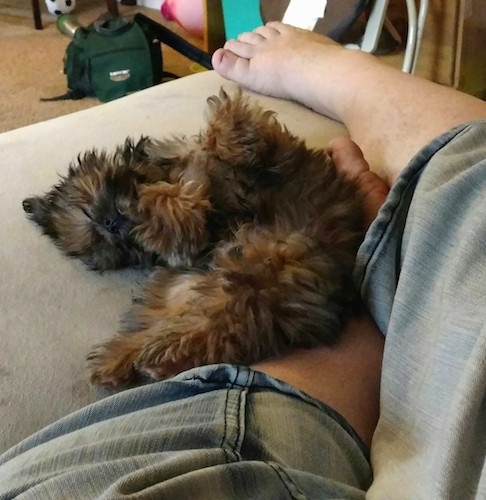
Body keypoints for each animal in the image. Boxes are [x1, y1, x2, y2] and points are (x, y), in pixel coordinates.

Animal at [22, 88, 364, 388]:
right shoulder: (193, 232)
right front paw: (153, 202)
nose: (112, 225)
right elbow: (179, 208)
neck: (158, 173)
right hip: (236, 277)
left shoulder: (267, 153)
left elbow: (223, 134)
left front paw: (228, 129)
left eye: (90, 214)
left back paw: (135, 355)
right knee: (216, 331)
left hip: (261, 269)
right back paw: (138, 355)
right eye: (109, 247)